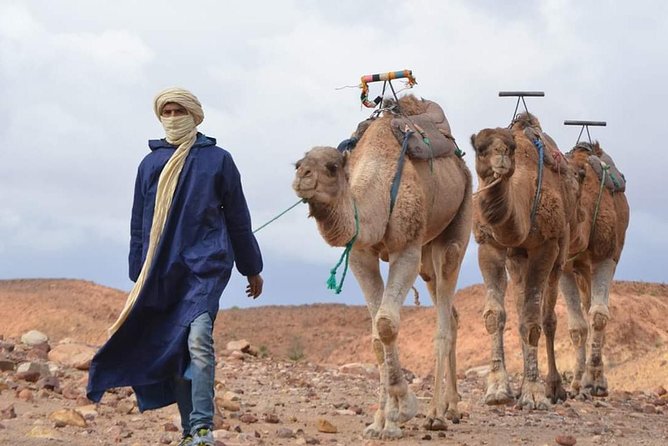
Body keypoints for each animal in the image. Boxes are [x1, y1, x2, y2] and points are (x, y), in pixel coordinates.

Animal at [292, 95, 472, 439]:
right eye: (298, 162)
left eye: (332, 167)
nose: (301, 176)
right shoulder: (362, 255)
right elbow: (376, 334)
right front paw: (381, 422)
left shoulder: (406, 249)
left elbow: (387, 324)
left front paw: (404, 409)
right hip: (427, 255)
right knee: (453, 316)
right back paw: (453, 408)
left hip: (456, 227)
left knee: (444, 320)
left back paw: (436, 414)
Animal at [470, 113, 580, 409]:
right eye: (480, 148)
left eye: (510, 148)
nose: (500, 159)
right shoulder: (489, 244)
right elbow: (495, 315)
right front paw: (498, 390)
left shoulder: (545, 246)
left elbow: (532, 321)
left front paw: (533, 393)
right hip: (517, 258)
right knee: (520, 306)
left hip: (560, 252)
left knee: (548, 316)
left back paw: (554, 387)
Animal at [560, 141, 629, 397]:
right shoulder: (566, 266)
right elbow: (577, 327)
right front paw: (578, 381)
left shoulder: (607, 255)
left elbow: (599, 315)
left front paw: (595, 382)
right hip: (581, 269)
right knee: (585, 306)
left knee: (594, 307)